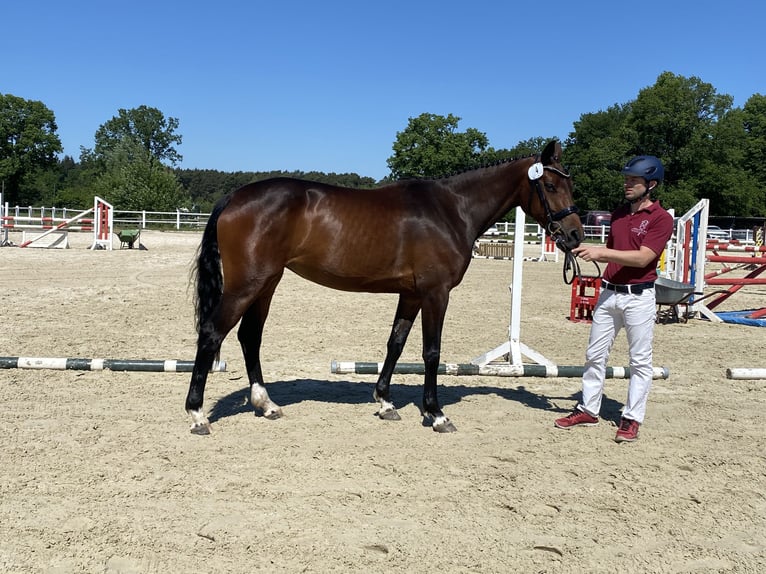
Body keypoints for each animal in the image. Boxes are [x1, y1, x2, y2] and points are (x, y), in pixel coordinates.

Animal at [186, 141, 584, 436]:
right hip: (247, 284)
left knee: (249, 336)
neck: (451, 209)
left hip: (267, 283)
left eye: (570, 185)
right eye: (550, 186)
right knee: (212, 333)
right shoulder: (436, 293)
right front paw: (436, 414)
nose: (575, 235)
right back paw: (197, 414)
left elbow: (396, 343)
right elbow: (431, 352)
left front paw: (385, 402)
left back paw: (266, 404)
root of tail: (235, 197)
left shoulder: (411, 295)